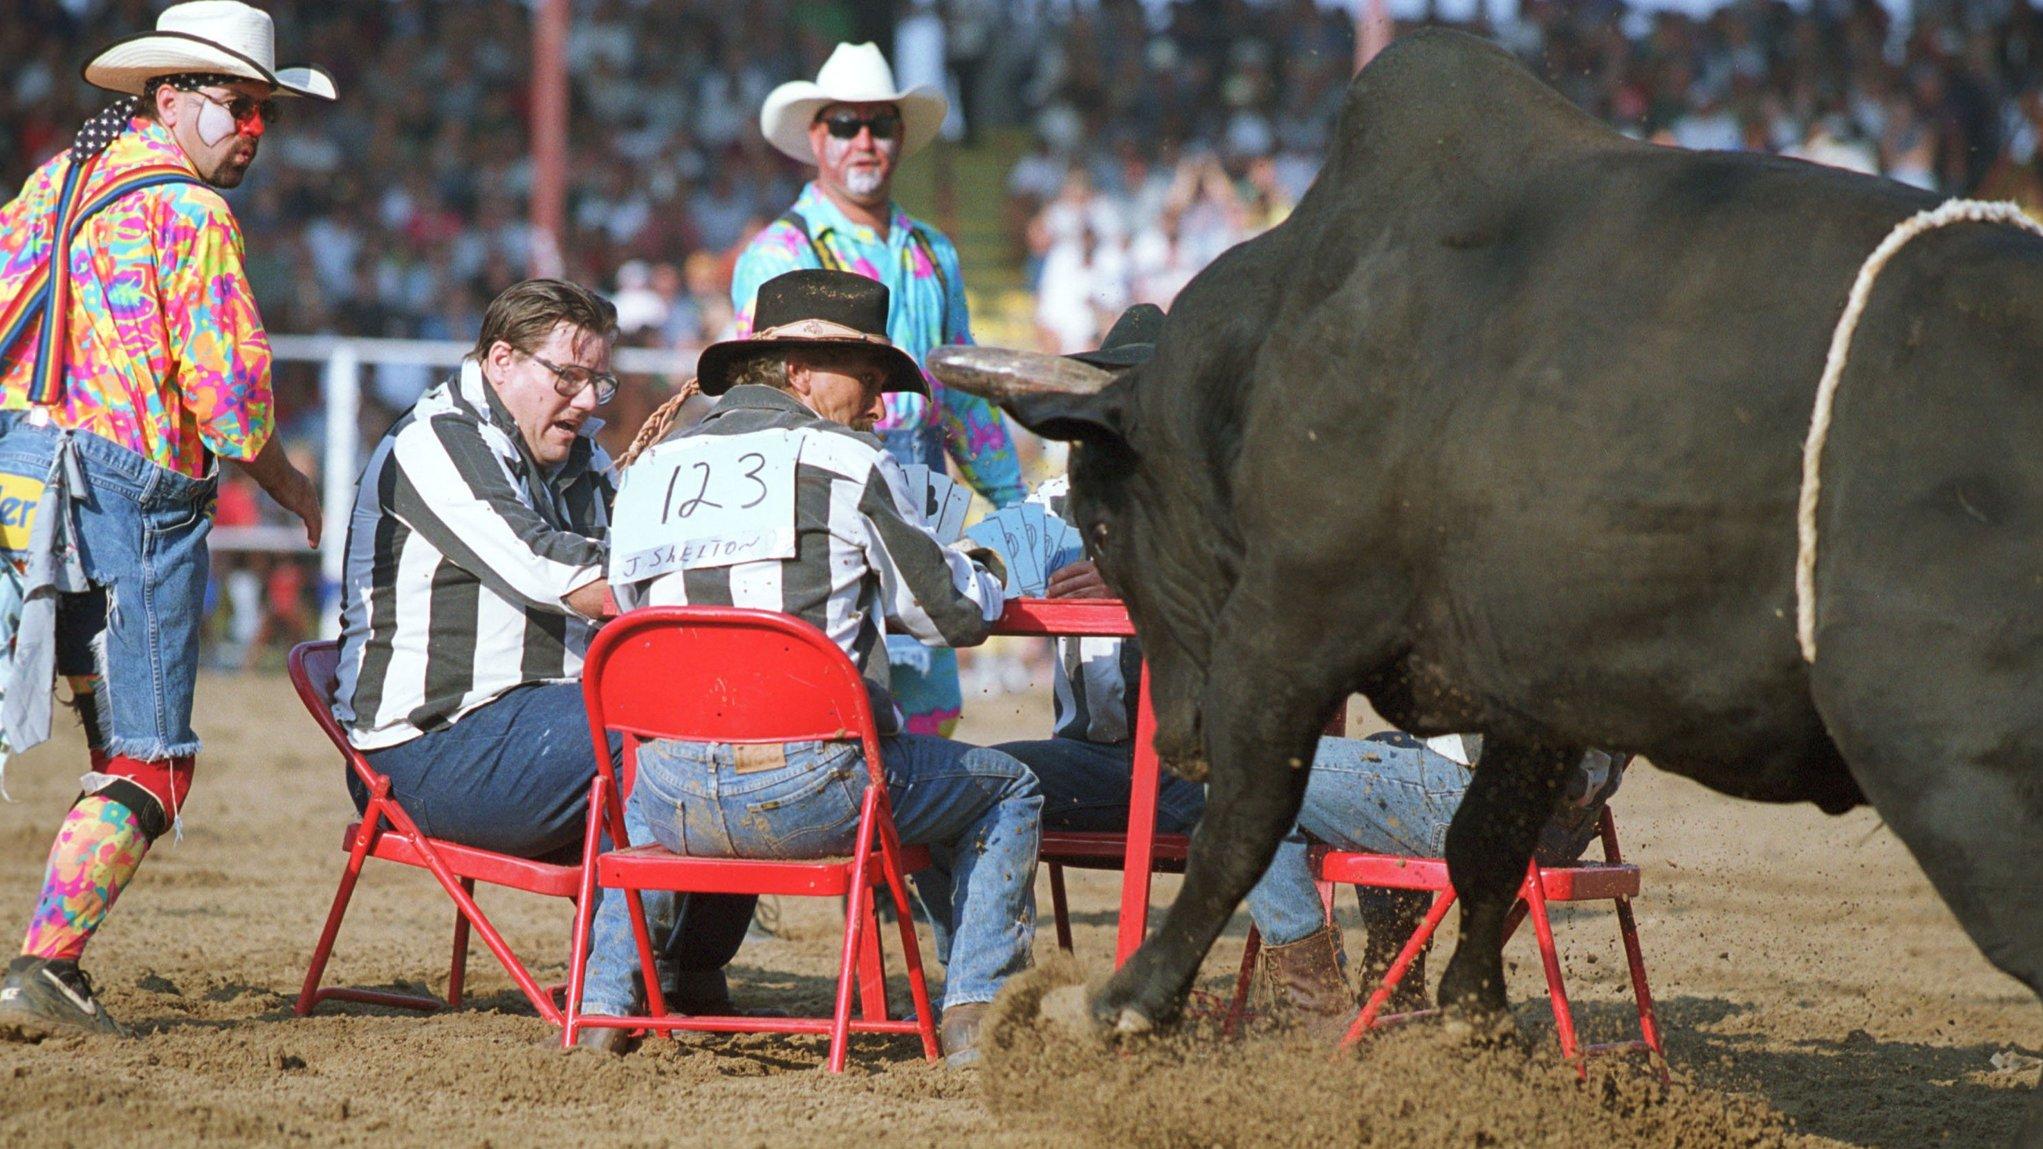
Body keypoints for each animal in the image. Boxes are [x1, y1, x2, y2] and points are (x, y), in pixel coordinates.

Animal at [935, 26, 2034, 1128]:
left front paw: (1121, 1000)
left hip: (1956, 774)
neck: (1287, 334)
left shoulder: (1287, 625)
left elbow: (1242, 825)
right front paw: (1478, 1019)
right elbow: (1484, 842)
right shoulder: (1530, 686)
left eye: (1101, 522)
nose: (1176, 740)